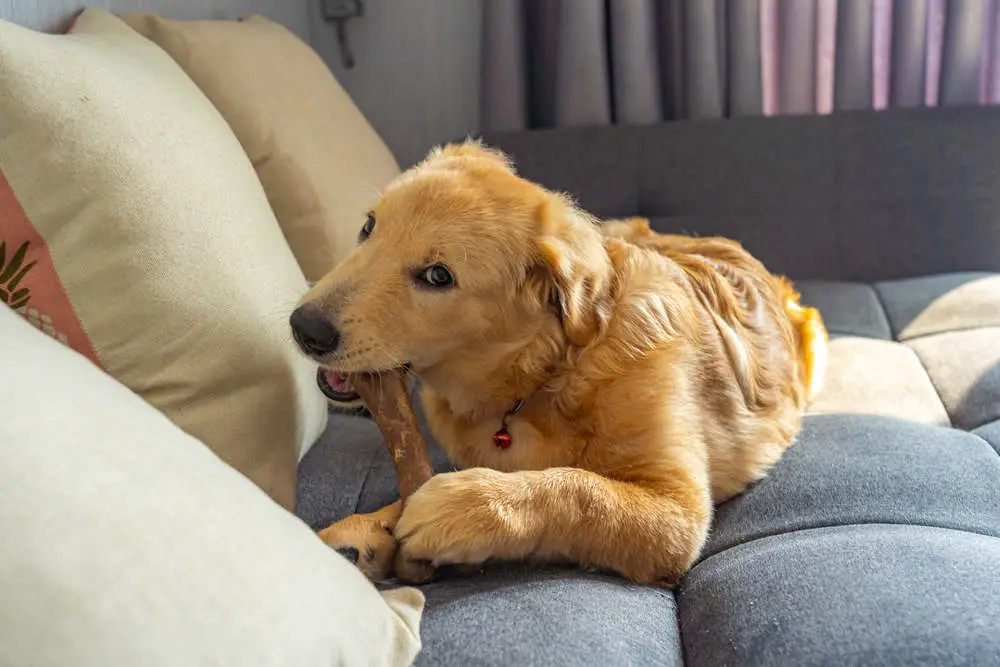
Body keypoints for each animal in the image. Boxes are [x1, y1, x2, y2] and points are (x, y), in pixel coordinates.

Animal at [292, 140, 828, 584]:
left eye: (438, 276)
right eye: (368, 227)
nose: (304, 327)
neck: (545, 375)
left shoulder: (678, 512)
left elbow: (580, 489)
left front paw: (464, 504)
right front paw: (367, 528)